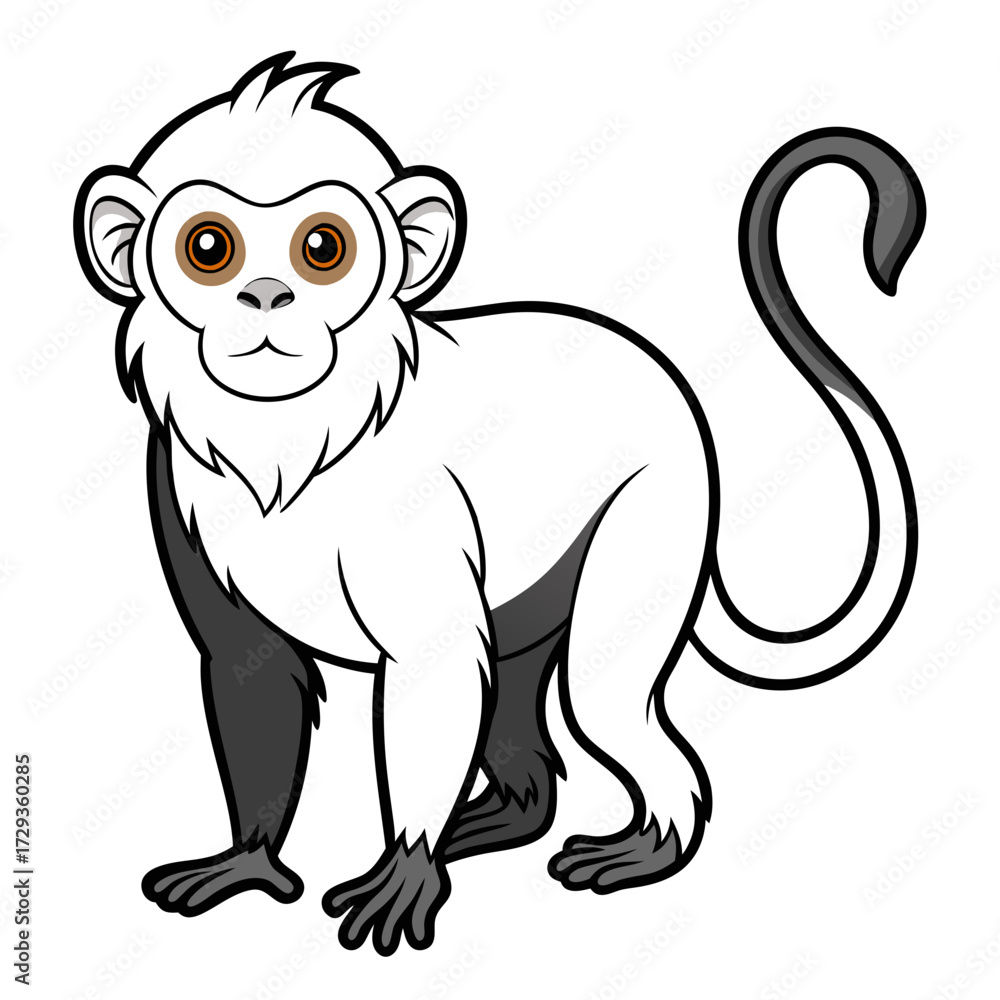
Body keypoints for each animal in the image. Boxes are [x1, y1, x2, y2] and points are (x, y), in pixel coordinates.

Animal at [74, 52, 923, 956]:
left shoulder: (416, 515)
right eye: (209, 247)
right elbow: (252, 668)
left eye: (322, 248)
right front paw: (246, 863)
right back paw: (503, 816)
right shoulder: (178, 484)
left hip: (653, 508)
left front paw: (404, 870)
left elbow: (435, 666)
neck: (292, 438)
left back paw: (639, 847)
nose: (267, 296)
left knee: (600, 691)